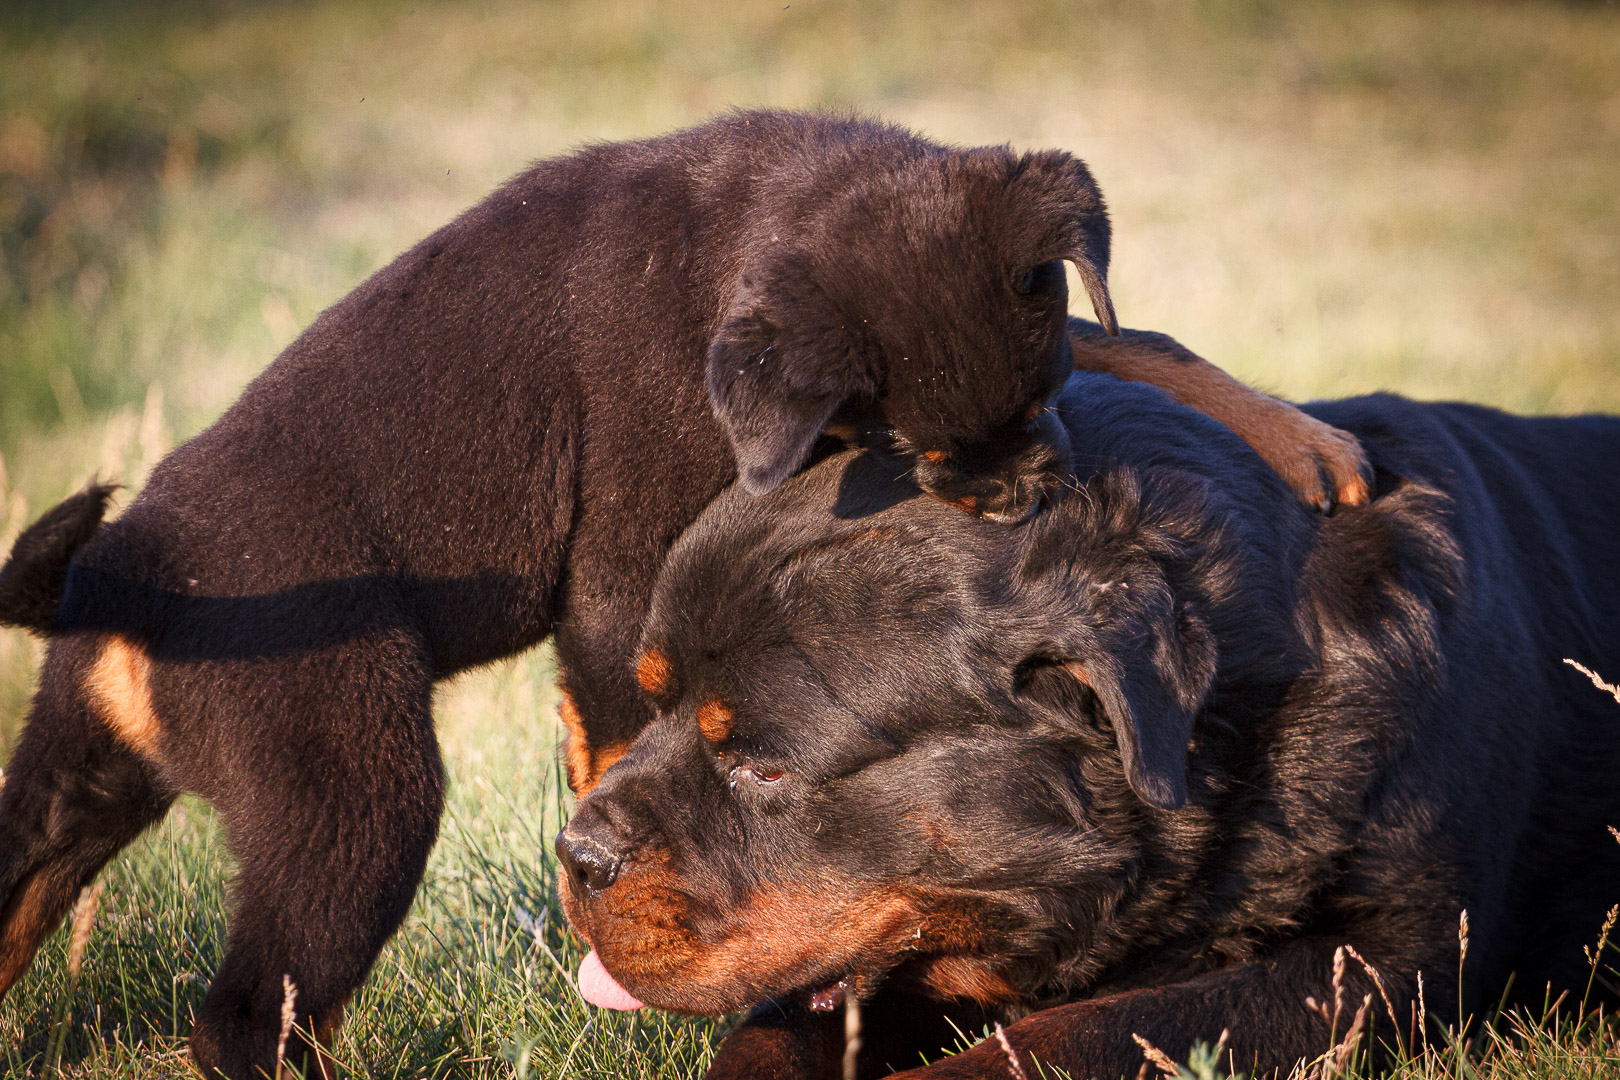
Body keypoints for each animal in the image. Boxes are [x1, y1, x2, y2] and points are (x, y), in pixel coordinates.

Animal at [0, 111, 1360, 1080]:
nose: (1037, 495)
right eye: (927, 454)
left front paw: (1301, 443)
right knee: (245, 1017)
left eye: (1033, 404)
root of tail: (117, 577)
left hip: (74, 766)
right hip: (349, 784)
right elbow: (621, 726)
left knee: (25, 884)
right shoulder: (621, 561)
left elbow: (1136, 338)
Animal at [560, 369, 1620, 1075]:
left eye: (764, 768)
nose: (578, 855)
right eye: (650, 702)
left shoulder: (1385, 958)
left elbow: (1076, 1035)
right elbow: (774, 1030)